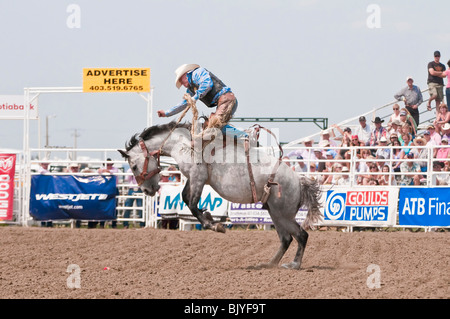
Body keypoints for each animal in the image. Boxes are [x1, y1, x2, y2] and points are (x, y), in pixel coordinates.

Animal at [118, 122, 324, 270]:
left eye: (134, 166)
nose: (147, 191)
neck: (182, 143)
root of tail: (299, 182)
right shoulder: (193, 177)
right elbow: (185, 197)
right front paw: (210, 217)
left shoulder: (198, 176)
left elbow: (192, 203)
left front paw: (214, 224)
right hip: (275, 213)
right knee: (286, 239)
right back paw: (268, 264)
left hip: (283, 214)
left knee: (301, 235)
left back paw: (294, 264)